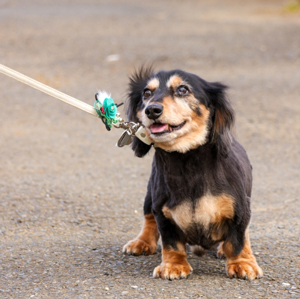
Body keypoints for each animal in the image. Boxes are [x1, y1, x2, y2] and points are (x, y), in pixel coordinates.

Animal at [122, 67, 262, 282]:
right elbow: (171, 241)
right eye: (146, 93)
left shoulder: (240, 209)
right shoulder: (162, 212)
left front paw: (242, 264)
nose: (152, 110)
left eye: (183, 89)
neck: (186, 161)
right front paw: (173, 265)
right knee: (148, 218)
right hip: (149, 195)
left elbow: (237, 240)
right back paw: (142, 242)